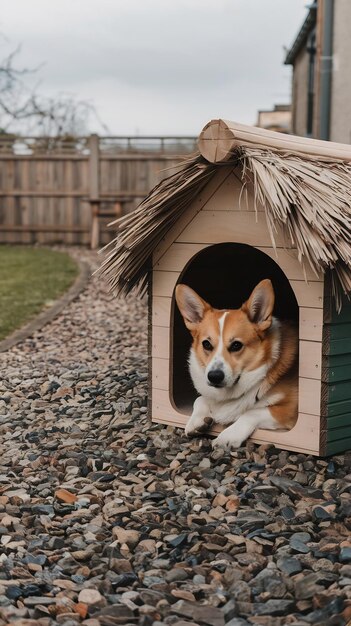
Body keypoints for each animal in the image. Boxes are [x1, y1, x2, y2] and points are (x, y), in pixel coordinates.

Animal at [175, 280, 298, 448]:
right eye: (206, 344)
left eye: (236, 345)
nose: (214, 376)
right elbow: (199, 399)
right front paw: (196, 421)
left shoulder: (291, 409)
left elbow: (251, 412)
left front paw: (228, 436)